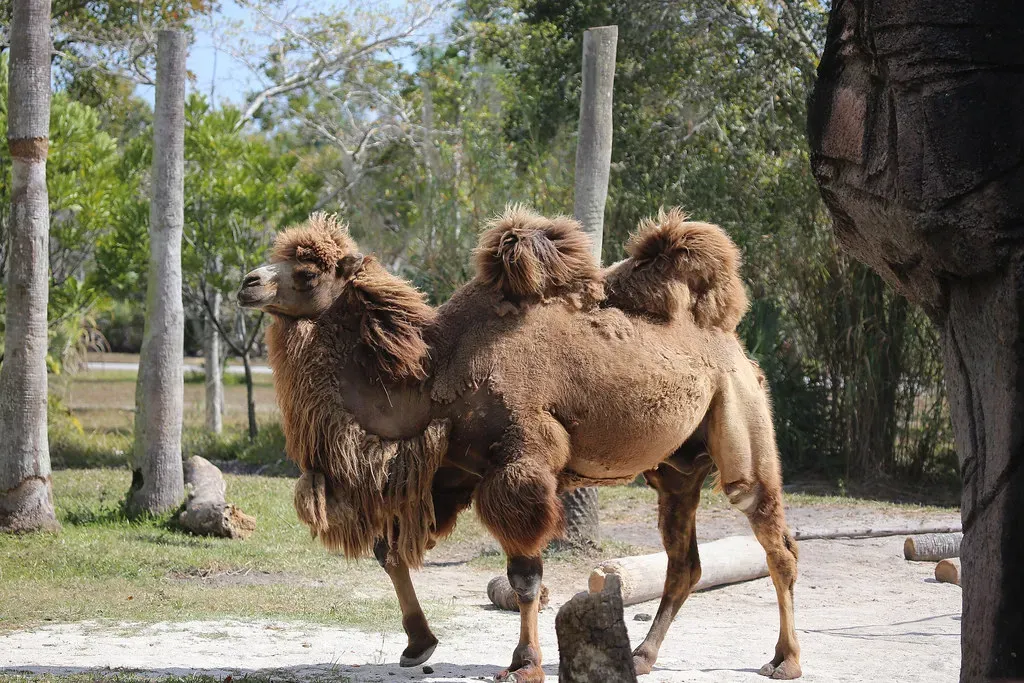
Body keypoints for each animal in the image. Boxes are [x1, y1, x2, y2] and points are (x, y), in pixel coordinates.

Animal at [237, 207, 802, 681]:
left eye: (308, 273)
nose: (248, 283)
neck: (434, 373)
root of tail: (734, 344)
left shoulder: (521, 464)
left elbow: (525, 575)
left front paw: (523, 664)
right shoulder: (450, 471)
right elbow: (389, 551)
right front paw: (419, 645)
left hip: (738, 412)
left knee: (771, 534)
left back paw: (784, 661)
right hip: (675, 469)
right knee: (685, 562)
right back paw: (642, 656)